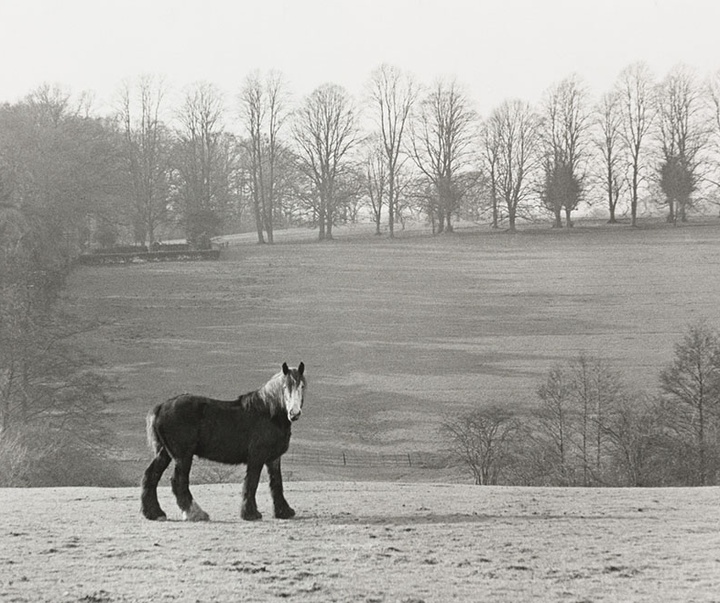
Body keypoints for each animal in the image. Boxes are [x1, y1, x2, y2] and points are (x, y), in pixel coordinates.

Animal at [141, 360, 306, 520]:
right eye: (285, 387)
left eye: (302, 386)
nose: (294, 413)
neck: (268, 413)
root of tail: (161, 407)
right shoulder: (256, 458)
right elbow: (251, 483)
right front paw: (250, 513)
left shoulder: (273, 458)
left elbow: (277, 483)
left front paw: (284, 512)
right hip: (183, 456)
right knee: (178, 481)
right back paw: (195, 513)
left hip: (165, 453)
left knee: (151, 475)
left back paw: (155, 513)